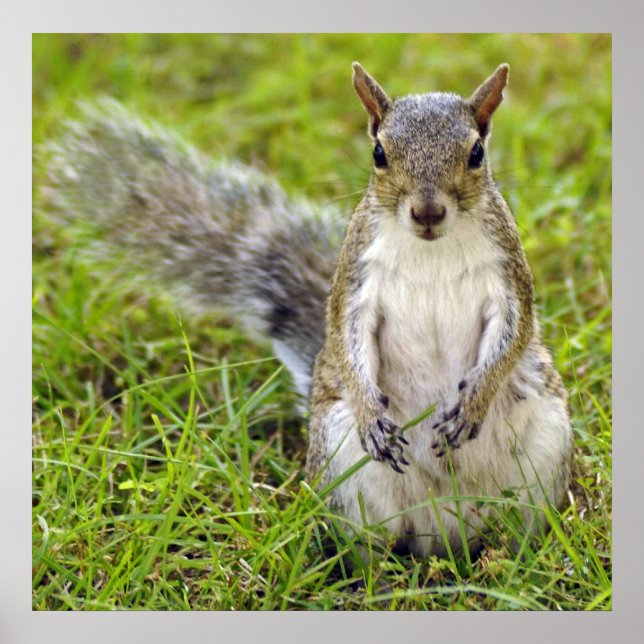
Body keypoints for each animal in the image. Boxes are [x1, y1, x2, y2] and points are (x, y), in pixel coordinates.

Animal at [44, 62, 572, 558]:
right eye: (379, 154)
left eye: (477, 153)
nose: (427, 212)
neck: (431, 249)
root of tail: (443, 526)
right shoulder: (356, 282)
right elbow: (344, 335)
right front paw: (370, 411)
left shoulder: (507, 275)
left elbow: (514, 333)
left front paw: (475, 400)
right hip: (345, 466)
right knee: (372, 549)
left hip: (544, 451)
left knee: (518, 528)